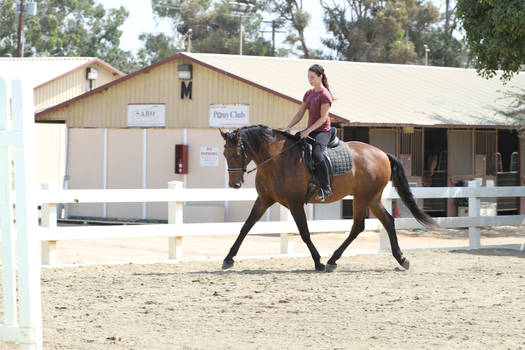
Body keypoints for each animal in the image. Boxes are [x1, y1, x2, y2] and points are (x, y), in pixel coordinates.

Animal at [219, 124, 436, 272]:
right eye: (224, 154)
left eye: (237, 154)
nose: (234, 184)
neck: (277, 160)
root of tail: (382, 153)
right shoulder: (264, 199)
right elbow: (245, 227)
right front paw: (228, 259)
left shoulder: (295, 203)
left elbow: (305, 233)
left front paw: (318, 262)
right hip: (372, 198)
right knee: (388, 222)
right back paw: (401, 259)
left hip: (362, 197)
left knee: (358, 226)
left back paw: (332, 260)